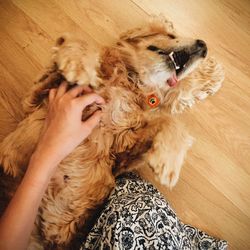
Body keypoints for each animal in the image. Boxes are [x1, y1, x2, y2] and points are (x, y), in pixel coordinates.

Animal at [0, 16, 224, 249]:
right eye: (171, 36)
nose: (203, 45)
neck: (132, 81)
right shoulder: (37, 96)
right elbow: (80, 43)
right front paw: (79, 65)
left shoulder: (122, 153)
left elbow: (169, 121)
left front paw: (168, 161)